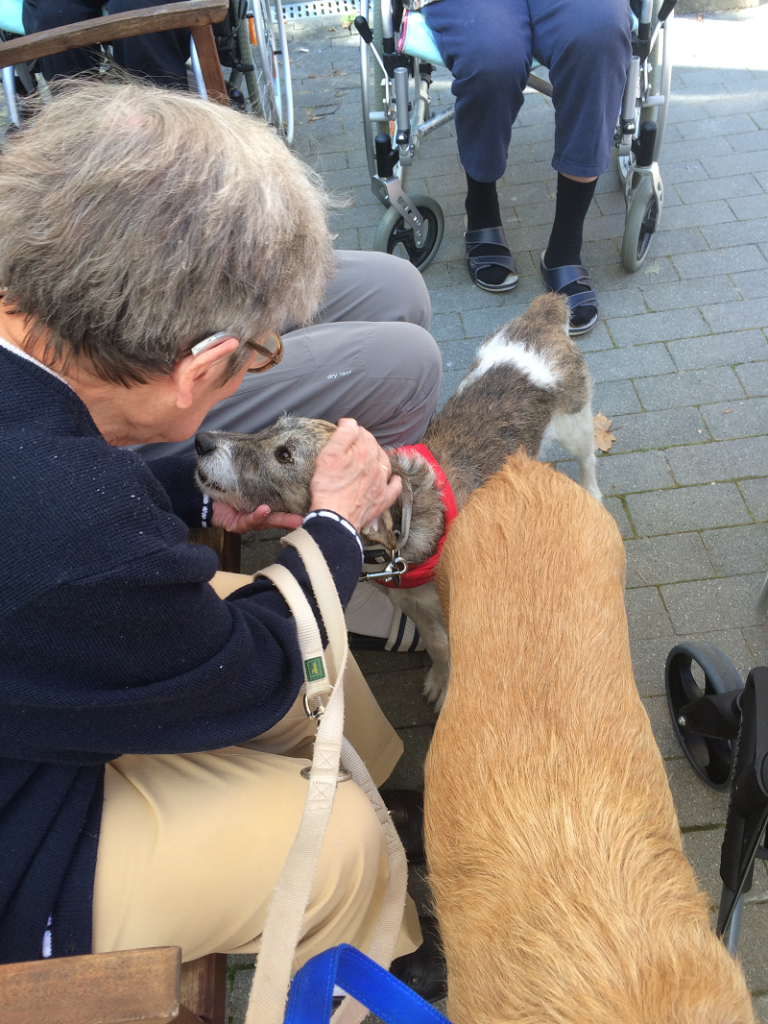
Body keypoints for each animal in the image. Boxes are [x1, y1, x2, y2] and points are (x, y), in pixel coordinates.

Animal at [195, 292, 606, 708]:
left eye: (285, 455)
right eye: (271, 429)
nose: (201, 441)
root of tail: (541, 316)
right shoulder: (415, 605)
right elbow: (439, 646)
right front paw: (440, 680)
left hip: (575, 423)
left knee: (588, 461)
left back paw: (591, 493)